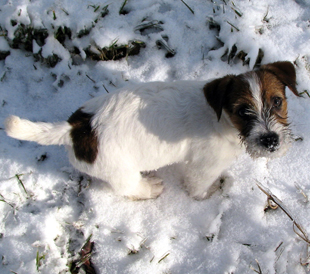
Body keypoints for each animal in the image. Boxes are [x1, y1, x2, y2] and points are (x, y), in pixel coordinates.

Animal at [5, 61, 300, 199]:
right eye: (242, 112)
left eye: (277, 101)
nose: (271, 141)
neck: (223, 119)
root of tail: (76, 128)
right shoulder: (203, 167)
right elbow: (198, 187)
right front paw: (209, 195)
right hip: (121, 171)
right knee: (127, 188)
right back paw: (149, 188)